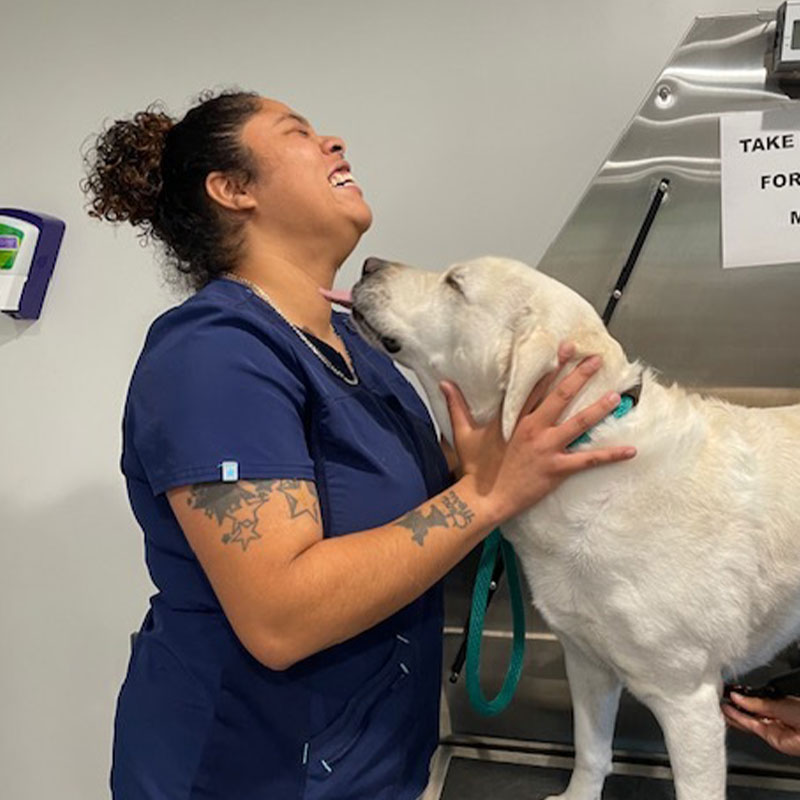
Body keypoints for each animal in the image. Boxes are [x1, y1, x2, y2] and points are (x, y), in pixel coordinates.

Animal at [346, 256, 800, 800]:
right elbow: (591, 750)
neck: (584, 458)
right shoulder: (586, 663)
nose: (368, 263)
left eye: (455, 282)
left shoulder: (687, 701)